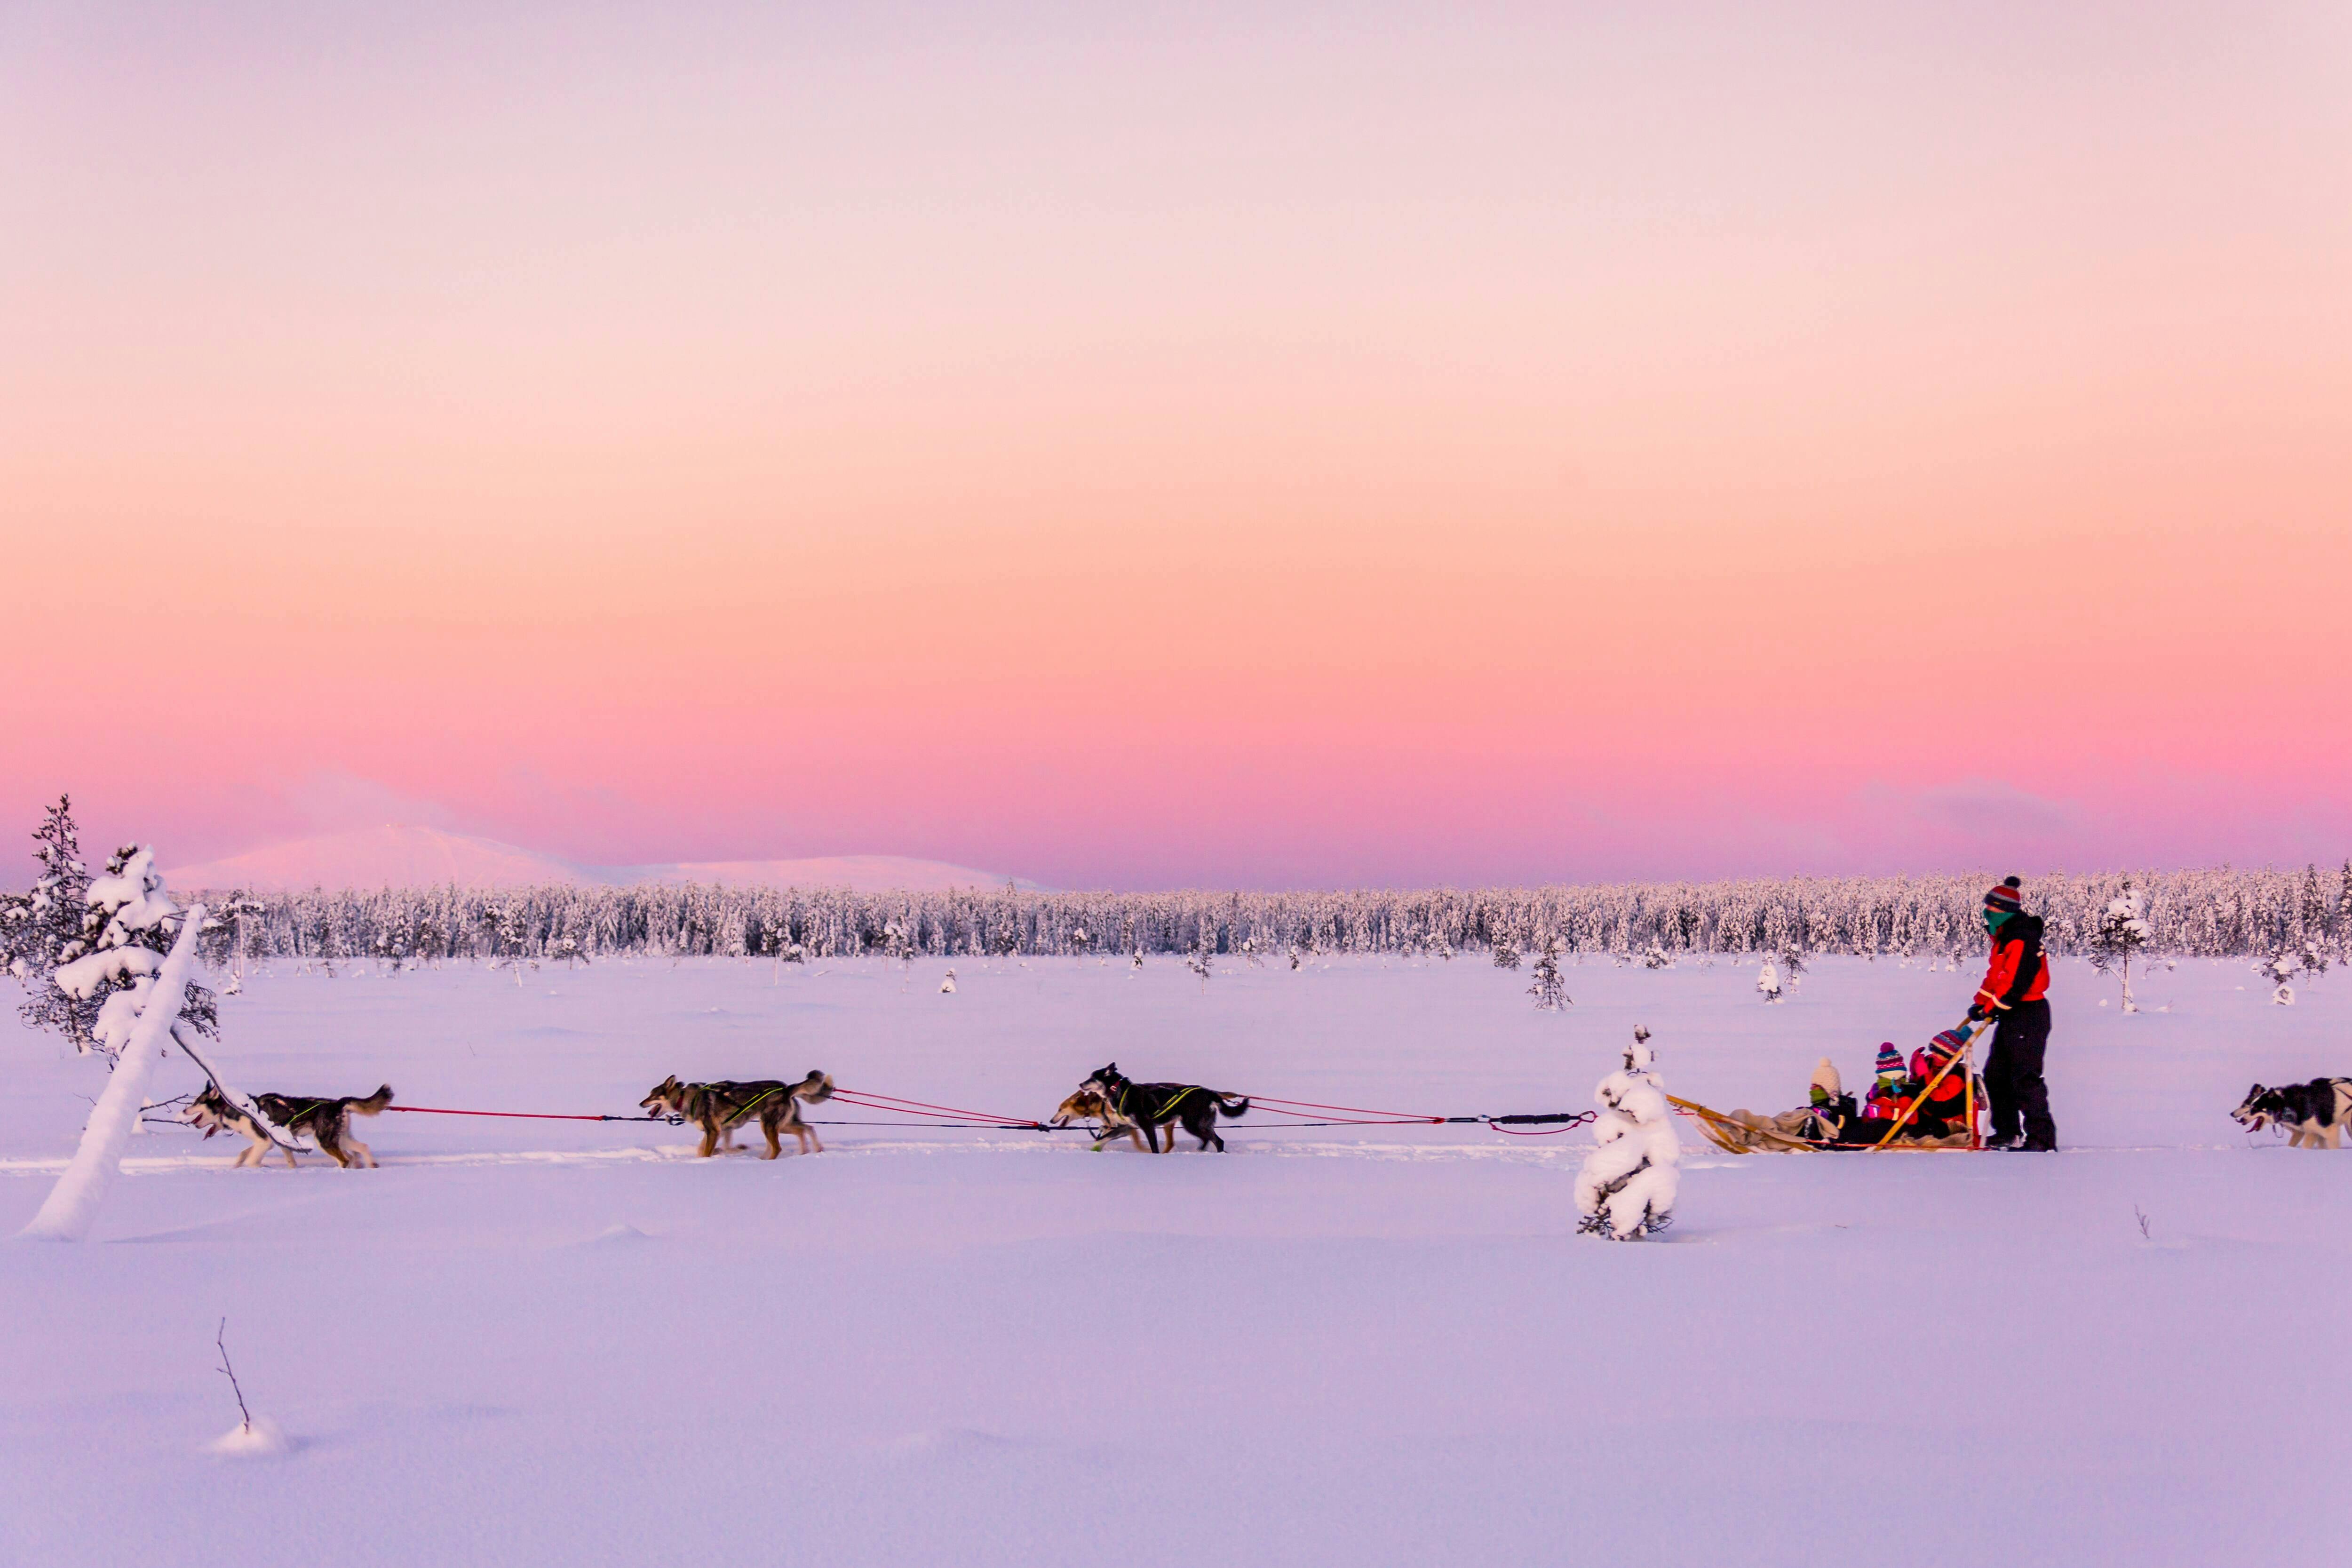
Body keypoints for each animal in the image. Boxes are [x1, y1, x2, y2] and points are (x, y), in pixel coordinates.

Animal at [183, 1086, 393, 1170]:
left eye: (196, 1102)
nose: (184, 1111)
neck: (238, 1108)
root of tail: (338, 1103)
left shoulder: (264, 1143)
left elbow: (252, 1160)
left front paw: (261, 1167)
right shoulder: (275, 1142)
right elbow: (245, 1155)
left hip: (324, 1141)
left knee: (345, 1159)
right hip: (340, 1138)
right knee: (361, 1148)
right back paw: (370, 1165)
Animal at [640, 1072, 833, 1161]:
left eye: (652, 1095)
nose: (641, 1104)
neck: (686, 1098)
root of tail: (786, 1089)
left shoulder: (714, 1131)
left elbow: (706, 1152)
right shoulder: (722, 1131)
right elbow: (707, 1149)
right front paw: (735, 1149)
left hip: (769, 1125)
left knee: (778, 1147)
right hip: (781, 1125)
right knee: (807, 1128)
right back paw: (811, 1150)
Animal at [1073, 1067, 1242, 1152]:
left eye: (1093, 1078)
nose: (1080, 1084)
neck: (1119, 1091)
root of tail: (1209, 1092)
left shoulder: (1147, 1126)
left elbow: (1154, 1147)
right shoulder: (1125, 1127)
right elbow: (1103, 1138)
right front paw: (1096, 1147)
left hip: (1193, 1124)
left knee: (1216, 1141)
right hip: (1200, 1124)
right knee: (1212, 1140)